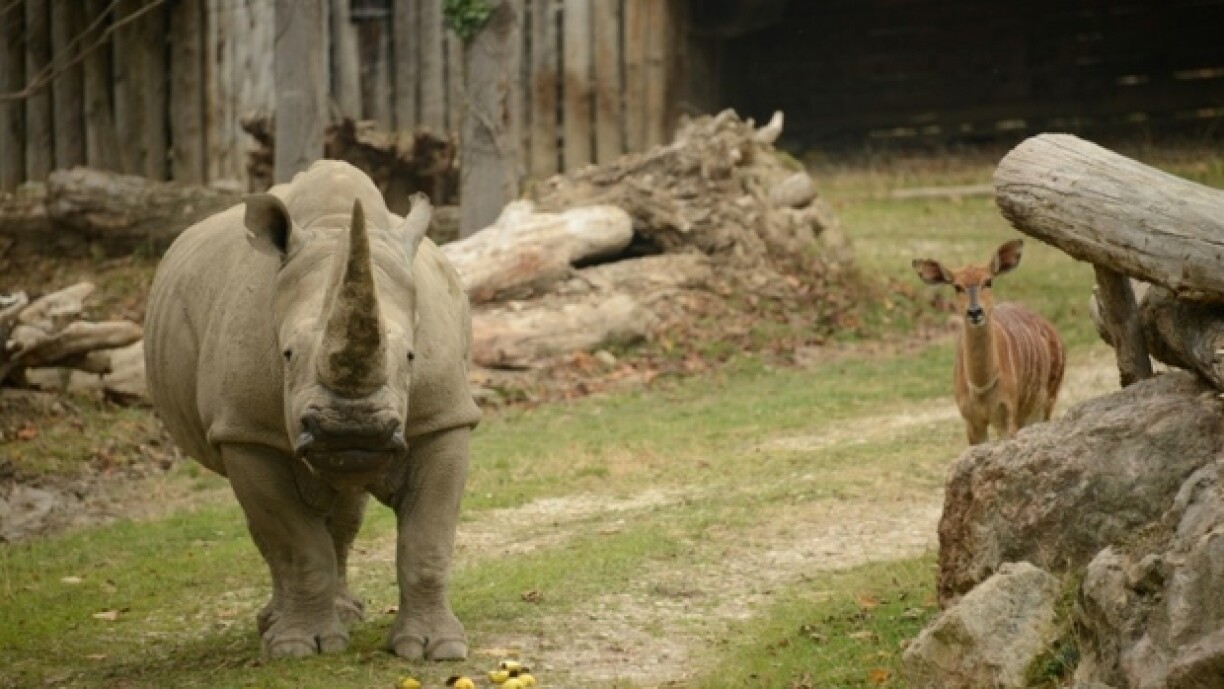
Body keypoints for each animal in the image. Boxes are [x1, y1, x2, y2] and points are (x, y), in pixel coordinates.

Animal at [144, 161, 481, 660]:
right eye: (286, 355)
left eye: (411, 357)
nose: (352, 429)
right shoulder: (248, 432)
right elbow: (297, 545)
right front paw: (299, 648)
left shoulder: (443, 418)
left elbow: (427, 541)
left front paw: (434, 649)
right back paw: (277, 625)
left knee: (343, 508)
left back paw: (344, 613)